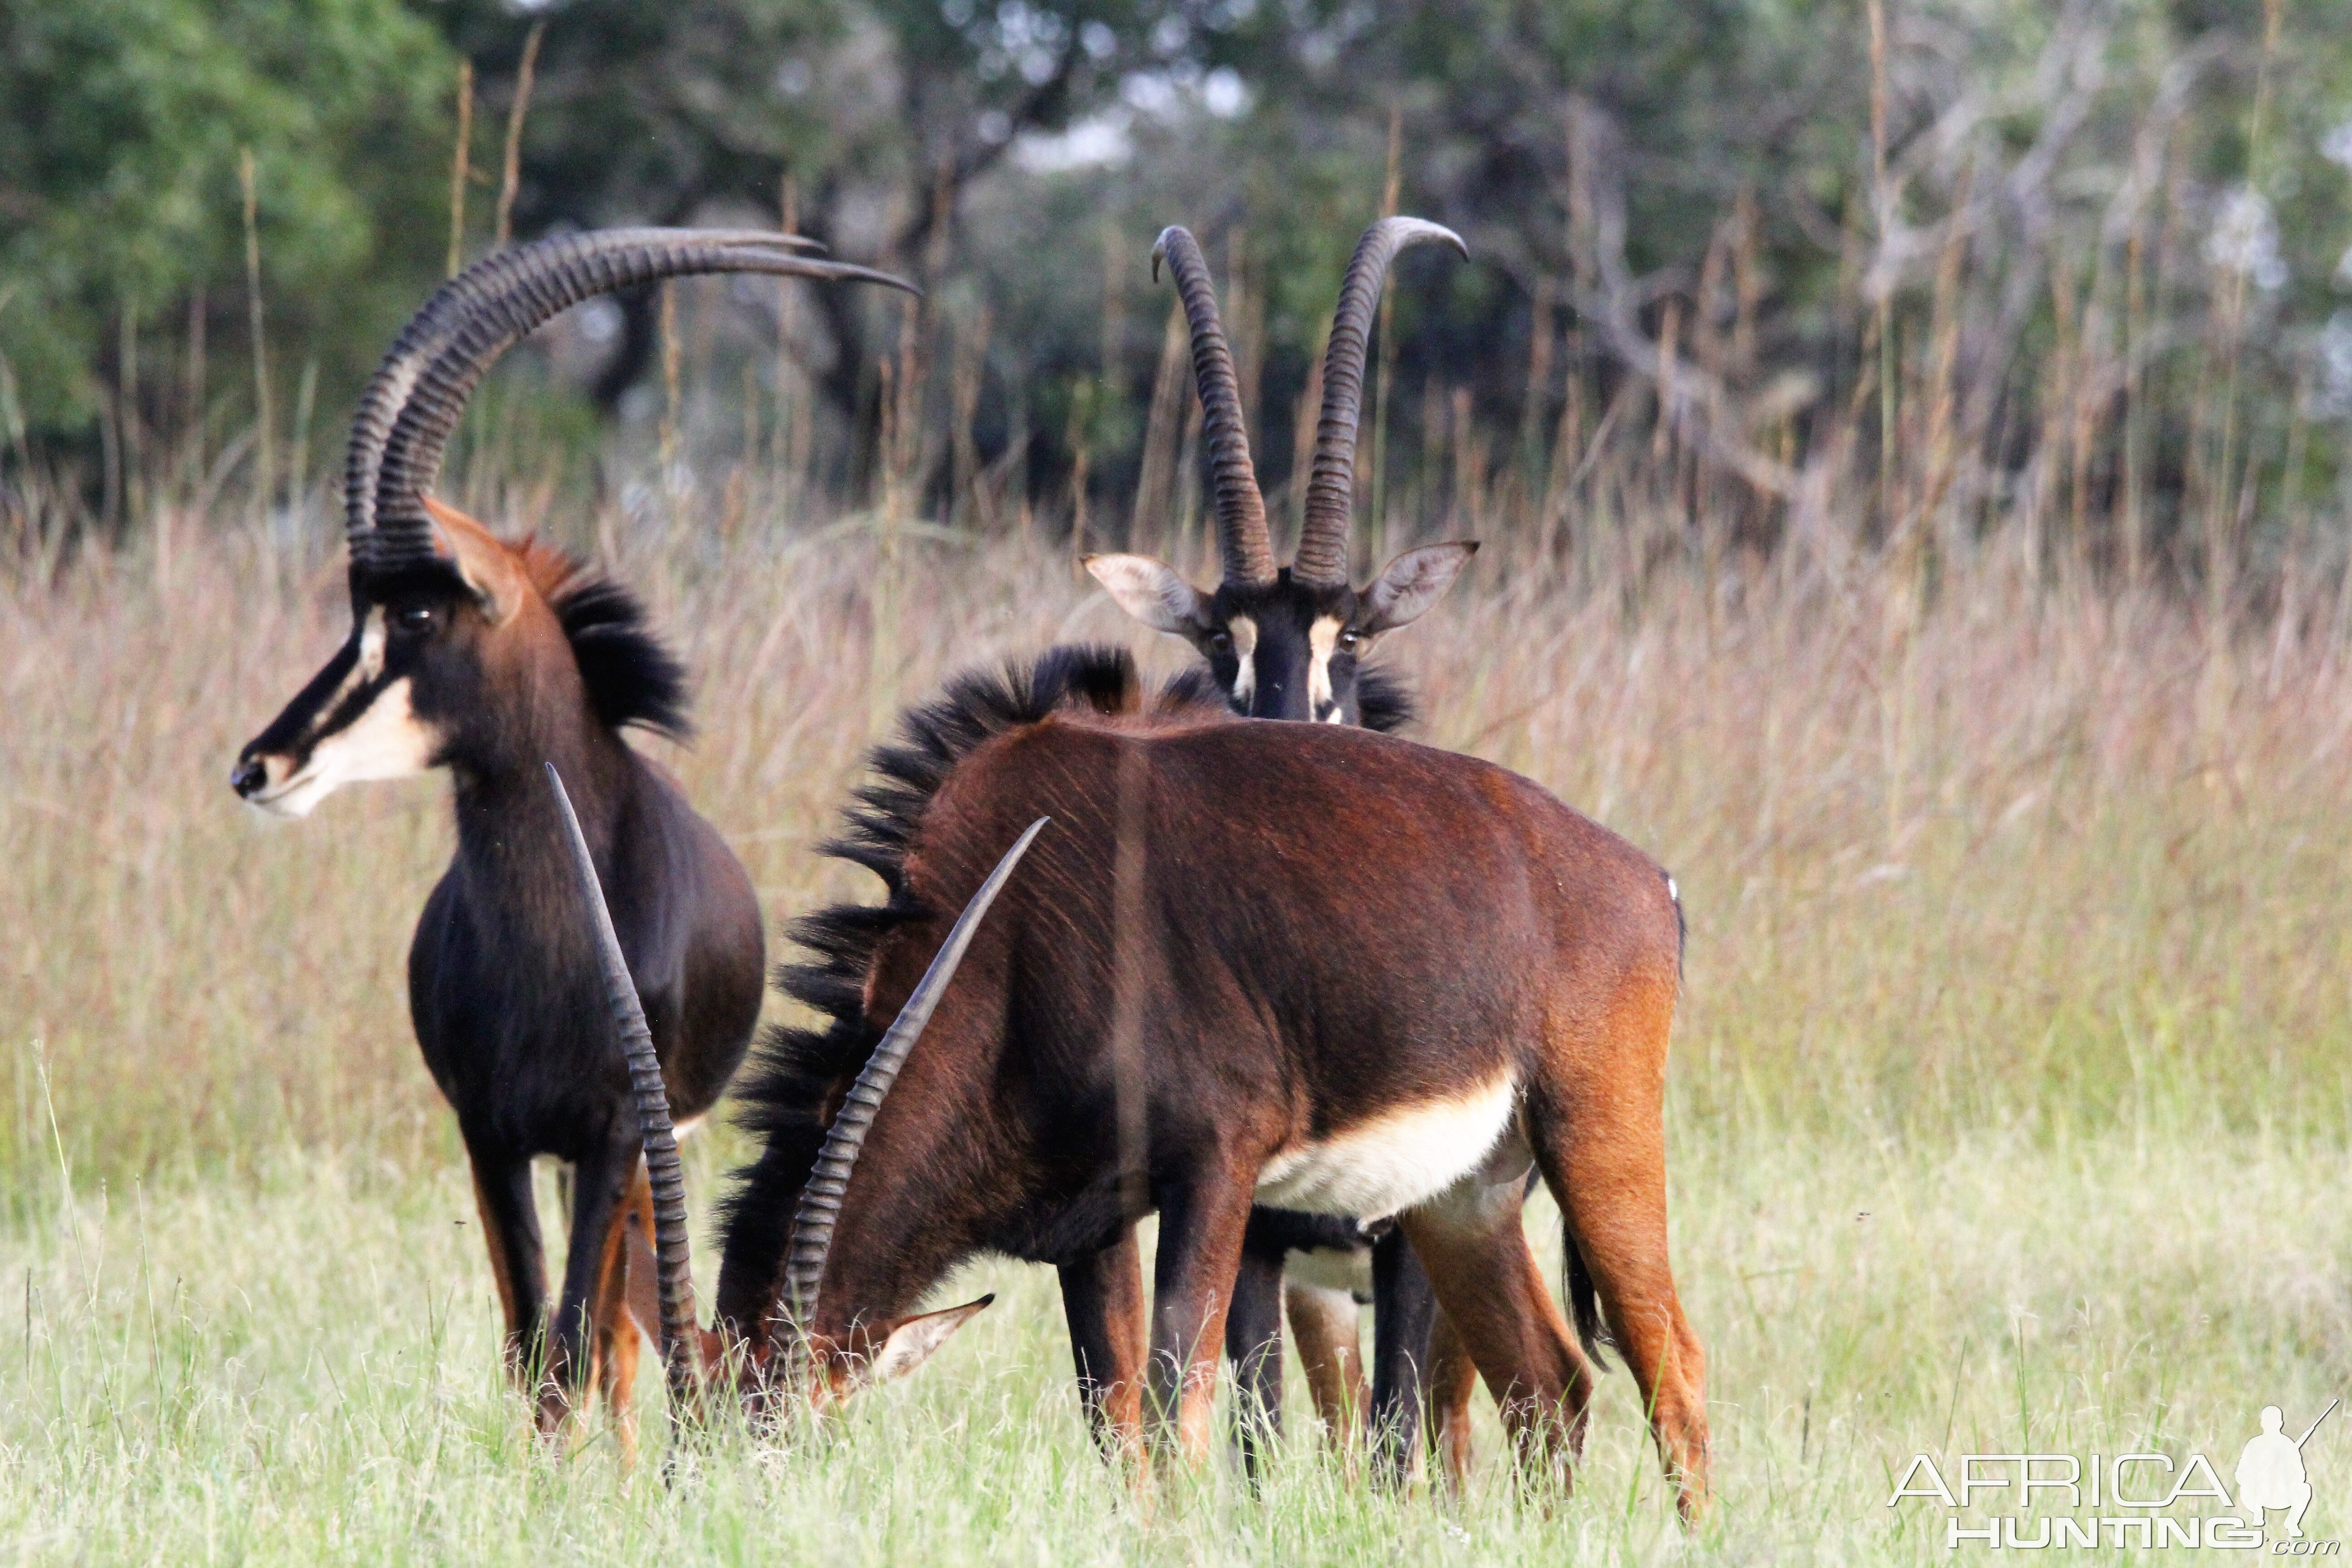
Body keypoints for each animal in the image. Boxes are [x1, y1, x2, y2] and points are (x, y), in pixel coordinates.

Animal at [231, 227, 917, 1439]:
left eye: (416, 611)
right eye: (356, 612)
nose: (259, 766)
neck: (551, 926)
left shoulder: (610, 1131)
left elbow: (580, 1343)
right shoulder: (490, 1131)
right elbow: (527, 1341)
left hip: (654, 1149)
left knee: (622, 1339)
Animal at [569, 644, 1712, 1514]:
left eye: (781, 1436)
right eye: (685, 1431)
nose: (704, 1519)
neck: (1015, 937)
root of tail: (1638, 876)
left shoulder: (1215, 1168)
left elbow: (1179, 1412)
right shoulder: (1090, 1216)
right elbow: (1115, 1421)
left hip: (1595, 1133)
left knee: (1672, 1372)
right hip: (1462, 1197)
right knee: (1547, 1387)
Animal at [1077, 221, 1477, 1485]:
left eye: (1348, 637)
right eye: (1220, 639)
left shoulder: (1409, 1247)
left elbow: (1401, 1440)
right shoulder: (1249, 1238)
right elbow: (1251, 1433)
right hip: (1318, 1285)